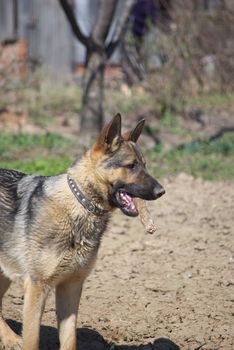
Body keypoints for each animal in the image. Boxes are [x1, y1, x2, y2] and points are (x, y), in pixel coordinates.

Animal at [0, 113, 165, 348]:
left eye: (144, 165)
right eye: (131, 166)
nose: (162, 191)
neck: (80, 205)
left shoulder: (71, 286)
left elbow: (69, 340)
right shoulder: (36, 288)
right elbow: (32, 340)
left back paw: (10, 339)